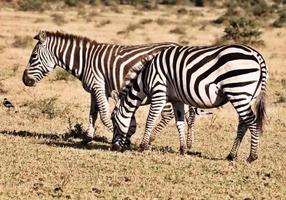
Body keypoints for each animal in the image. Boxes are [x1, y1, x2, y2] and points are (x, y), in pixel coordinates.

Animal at [21, 30, 190, 145]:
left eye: (33, 56)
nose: (24, 80)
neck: (85, 61)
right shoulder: (93, 91)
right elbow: (92, 114)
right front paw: (87, 138)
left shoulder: (99, 86)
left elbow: (104, 115)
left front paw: (121, 136)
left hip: (163, 90)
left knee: (167, 115)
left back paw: (151, 139)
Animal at [111, 44, 268, 162]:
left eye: (113, 122)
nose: (114, 148)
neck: (144, 79)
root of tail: (256, 54)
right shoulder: (177, 100)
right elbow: (179, 123)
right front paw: (183, 149)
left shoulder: (159, 91)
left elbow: (150, 119)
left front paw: (143, 146)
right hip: (248, 96)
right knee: (243, 124)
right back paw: (231, 155)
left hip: (238, 91)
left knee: (251, 121)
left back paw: (252, 156)